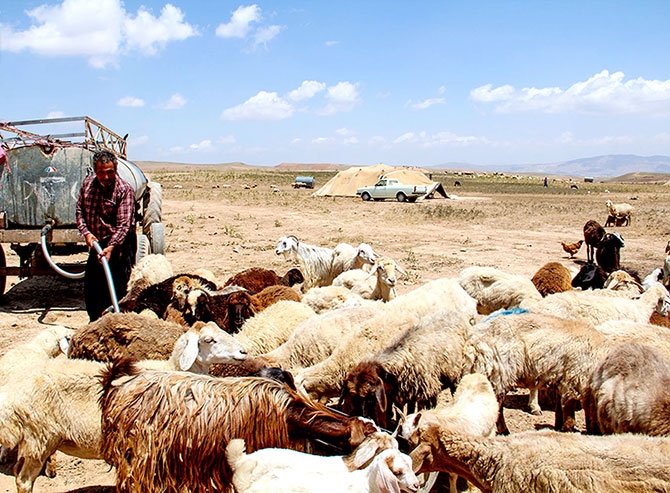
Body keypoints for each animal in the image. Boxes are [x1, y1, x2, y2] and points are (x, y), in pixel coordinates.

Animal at [0, 322, 248, 492]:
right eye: (209, 340)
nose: (243, 351)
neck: (174, 369)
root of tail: (13, 394)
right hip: (39, 438)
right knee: (23, 480)